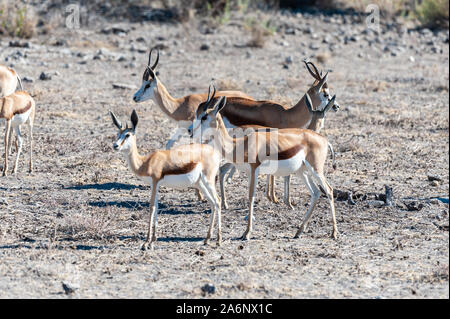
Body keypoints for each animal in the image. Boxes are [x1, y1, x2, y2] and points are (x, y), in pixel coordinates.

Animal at [110, 111, 223, 251]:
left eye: (127, 135)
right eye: (118, 133)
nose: (115, 145)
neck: (145, 162)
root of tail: (216, 153)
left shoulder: (154, 182)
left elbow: (152, 206)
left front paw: (146, 243)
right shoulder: (156, 185)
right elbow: (157, 206)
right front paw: (153, 240)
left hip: (208, 180)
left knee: (218, 201)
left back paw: (218, 240)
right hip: (200, 184)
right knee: (213, 203)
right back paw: (207, 239)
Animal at [189, 96, 338, 241]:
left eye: (204, 117)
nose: (190, 131)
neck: (240, 144)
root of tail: (324, 140)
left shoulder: (254, 171)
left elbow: (251, 197)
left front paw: (246, 233)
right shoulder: (249, 173)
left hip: (316, 169)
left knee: (329, 190)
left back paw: (334, 233)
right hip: (302, 171)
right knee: (316, 192)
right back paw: (299, 231)